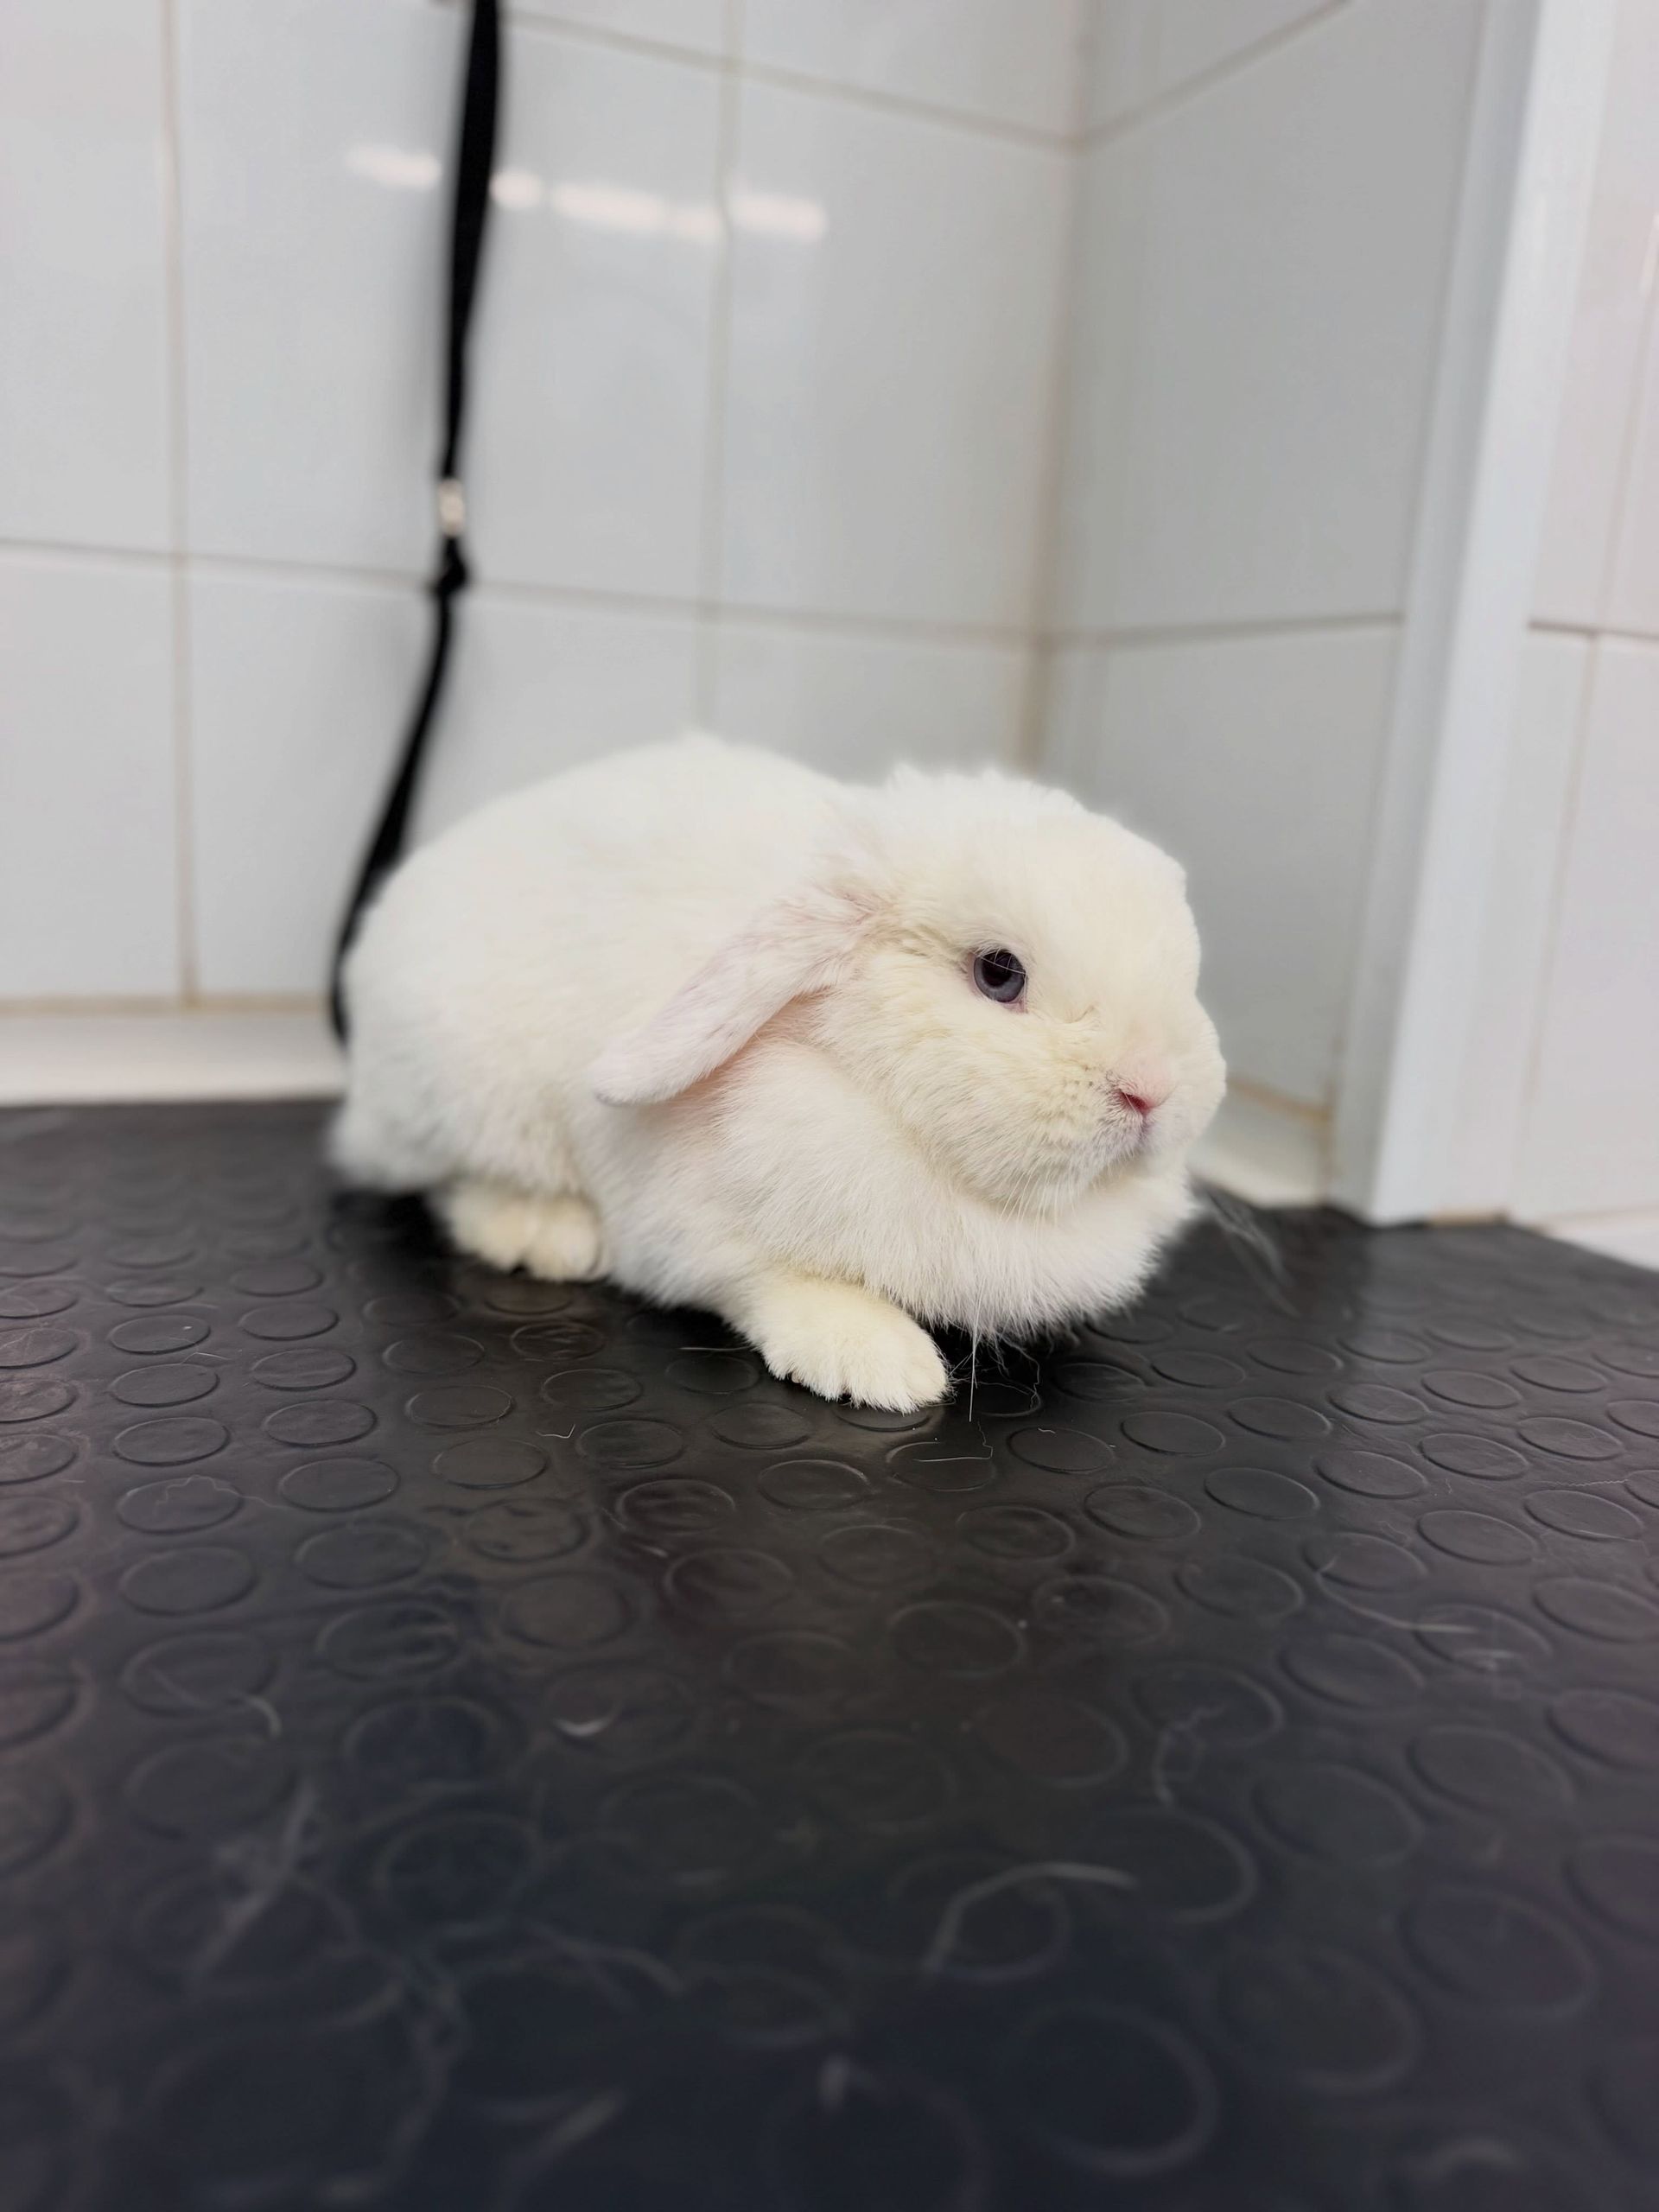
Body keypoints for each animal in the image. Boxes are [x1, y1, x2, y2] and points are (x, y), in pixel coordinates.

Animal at [331, 732, 1225, 1411]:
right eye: (998, 973)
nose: (1152, 1090)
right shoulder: (691, 1233)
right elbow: (769, 1276)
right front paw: (879, 1363)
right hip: (462, 1096)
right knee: (447, 1181)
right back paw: (543, 1234)